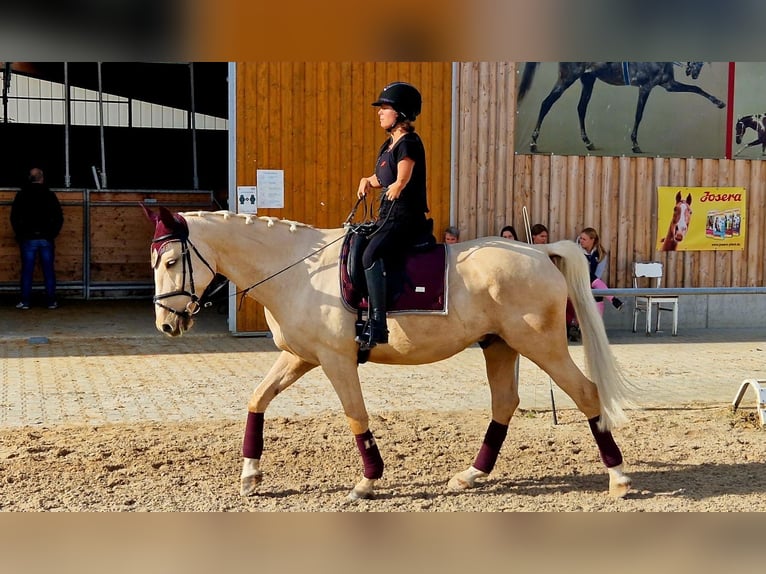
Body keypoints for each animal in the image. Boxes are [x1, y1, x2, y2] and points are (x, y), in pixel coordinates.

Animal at [144, 207, 636, 500]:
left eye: (170, 262)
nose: (166, 324)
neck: (300, 270)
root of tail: (539, 250)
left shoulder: (335, 360)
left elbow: (355, 416)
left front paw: (367, 480)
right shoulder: (300, 356)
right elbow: (257, 399)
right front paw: (250, 475)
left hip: (540, 345)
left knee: (586, 393)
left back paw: (618, 477)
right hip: (499, 346)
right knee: (504, 404)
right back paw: (470, 475)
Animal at [520, 62, 728, 154]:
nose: (694, 72)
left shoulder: (668, 84)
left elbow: (696, 89)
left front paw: (719, 103)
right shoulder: (646, 87)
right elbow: (638, 115)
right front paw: (635, 144)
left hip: (588, 79)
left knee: (581, 108)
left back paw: (588, 142)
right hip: (568, 78)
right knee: (546, 103)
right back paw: (533, 143)